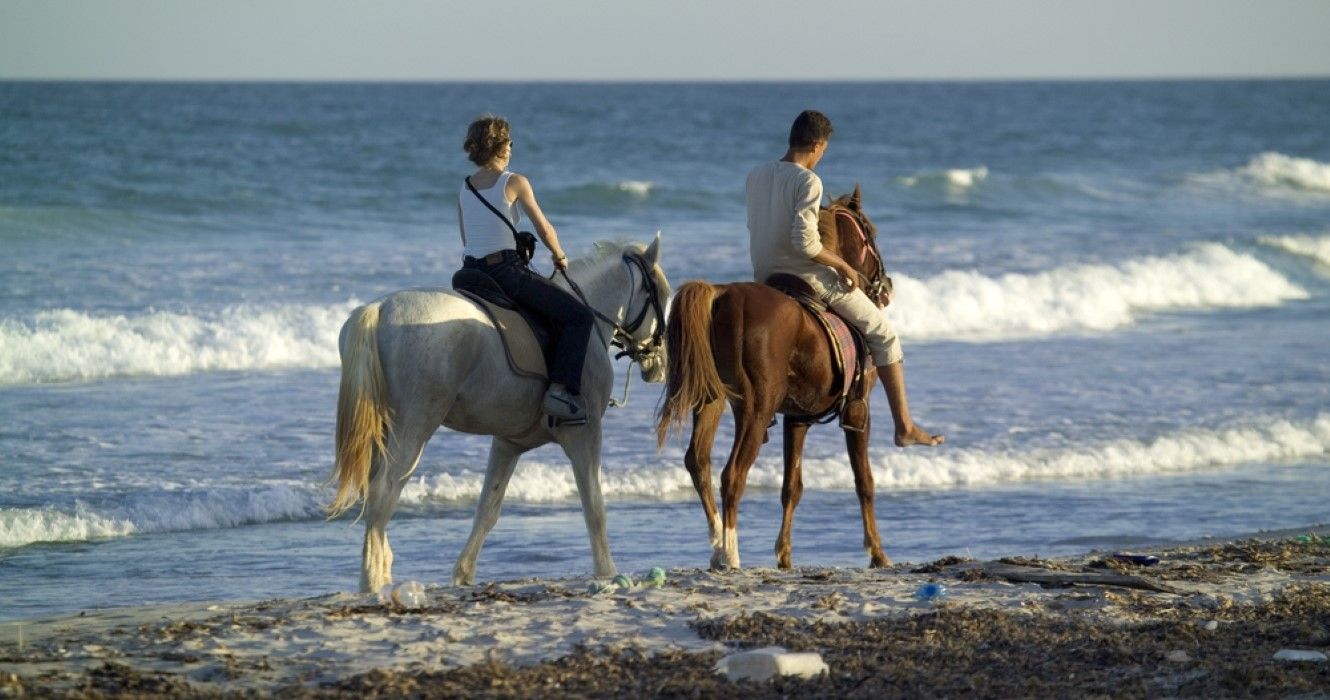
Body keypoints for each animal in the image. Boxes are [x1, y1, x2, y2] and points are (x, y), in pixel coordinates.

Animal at [327, 235, 670, 593]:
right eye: (660, 295)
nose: (658, 363)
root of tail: (379, 309)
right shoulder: (584, 434)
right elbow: (595, 506)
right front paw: (606, 571)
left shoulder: (508, 444)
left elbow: (488, 509)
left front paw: (464, 573)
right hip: (415, 427)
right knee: (384, 491)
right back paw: (374, 580)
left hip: (385, 430)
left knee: (375, 493)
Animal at [654, 188, 893, 574]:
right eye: (870, 231)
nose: (885, 288)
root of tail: (722, 295)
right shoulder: (859, 413)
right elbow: (864, 482)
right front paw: (877, 552)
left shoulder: (797, 418)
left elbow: (791, 486)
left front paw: (784, 553)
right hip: (756, 409)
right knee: (732, 474)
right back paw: (731, 553)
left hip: (713, 401)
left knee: (699, 463)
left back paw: (717, 545)